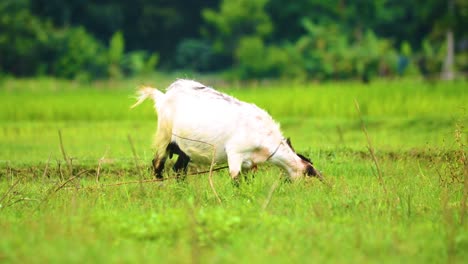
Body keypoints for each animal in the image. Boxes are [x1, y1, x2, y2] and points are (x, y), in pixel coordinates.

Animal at [132, 78, 322, 182]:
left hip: (184, 149)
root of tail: (163, 97)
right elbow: (235, 180)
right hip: (164, 138)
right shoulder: (235, 153)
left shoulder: (249, 164)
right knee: (157, 164)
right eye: (309, 173)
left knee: (179, 168)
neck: (263, 135)